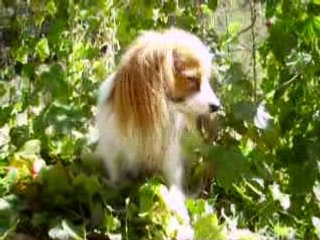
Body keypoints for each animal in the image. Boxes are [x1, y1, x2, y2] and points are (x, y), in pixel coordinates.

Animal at [95, 27, 220, 234]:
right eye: (191, 79)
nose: (217, 106)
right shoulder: (113, 155)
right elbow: (116, 179)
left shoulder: (171, 163)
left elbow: (175, 194)